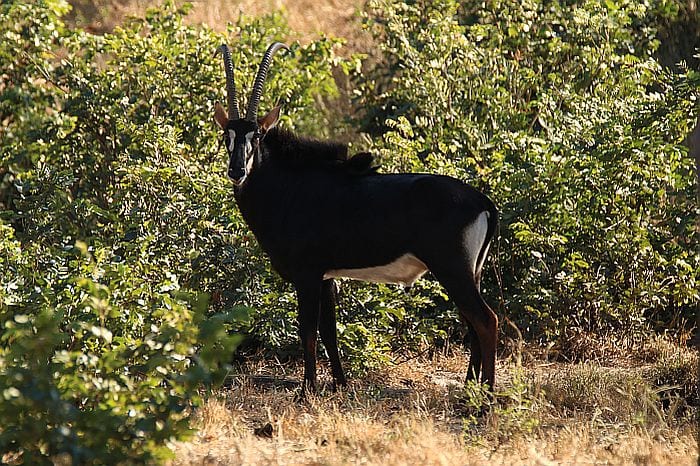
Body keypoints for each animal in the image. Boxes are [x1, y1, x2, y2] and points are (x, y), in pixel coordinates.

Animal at [214, 42, 499, 393]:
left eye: (256, 137)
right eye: (226, 137)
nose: (237, 171)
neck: (287, 186)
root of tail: (483, 202)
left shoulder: (307, 275)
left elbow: (307, 331)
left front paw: (307, 390)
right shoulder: (326, 277)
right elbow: (329, 332)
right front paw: (339, 383)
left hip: (452, 269)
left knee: (485, 321)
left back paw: (486, 396)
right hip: (469, 272)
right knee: (472, 324)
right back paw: (469, 390)